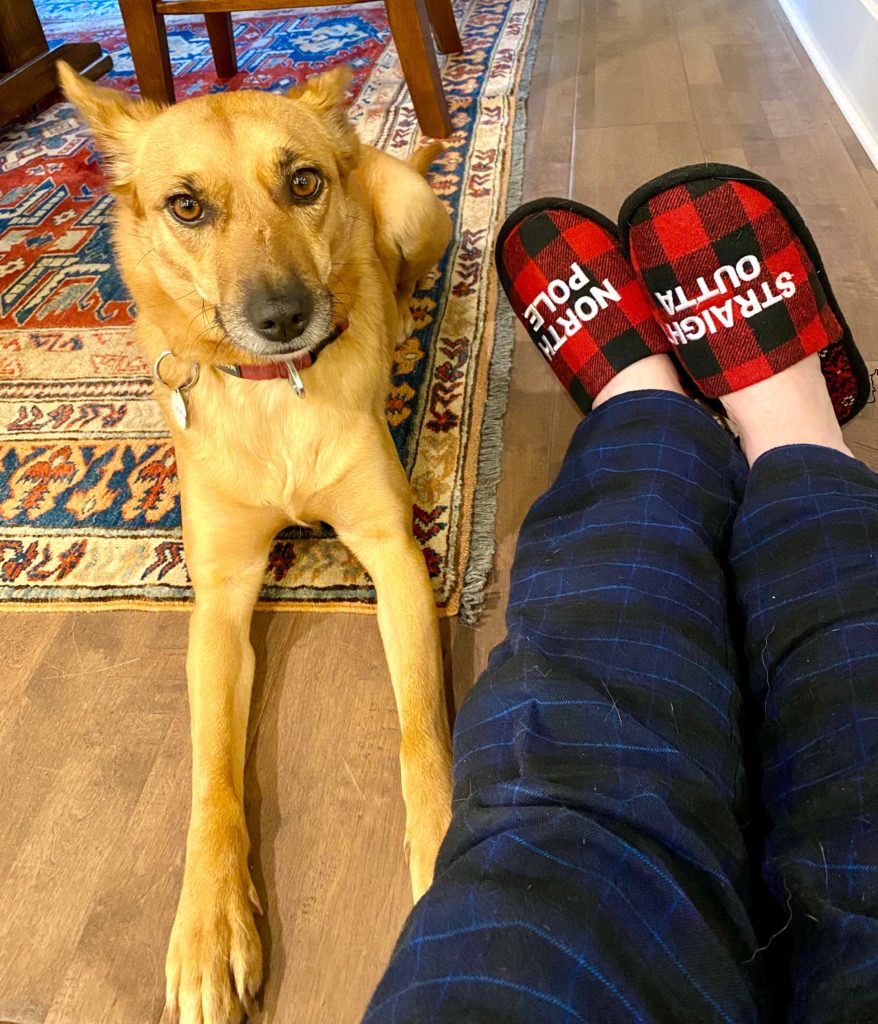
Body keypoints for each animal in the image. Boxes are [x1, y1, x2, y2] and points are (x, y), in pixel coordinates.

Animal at [59, 59, 454, 1019]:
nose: (282, 318)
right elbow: (211, 773)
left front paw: (443, 850)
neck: (279, 395)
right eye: (185, 205)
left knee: (405, 265)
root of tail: (370, 146)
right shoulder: (222, 599)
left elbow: (419, 730)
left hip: (418, 213)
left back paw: (402, 308)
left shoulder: (393, 556)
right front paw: (208, 924)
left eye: (302, 184)